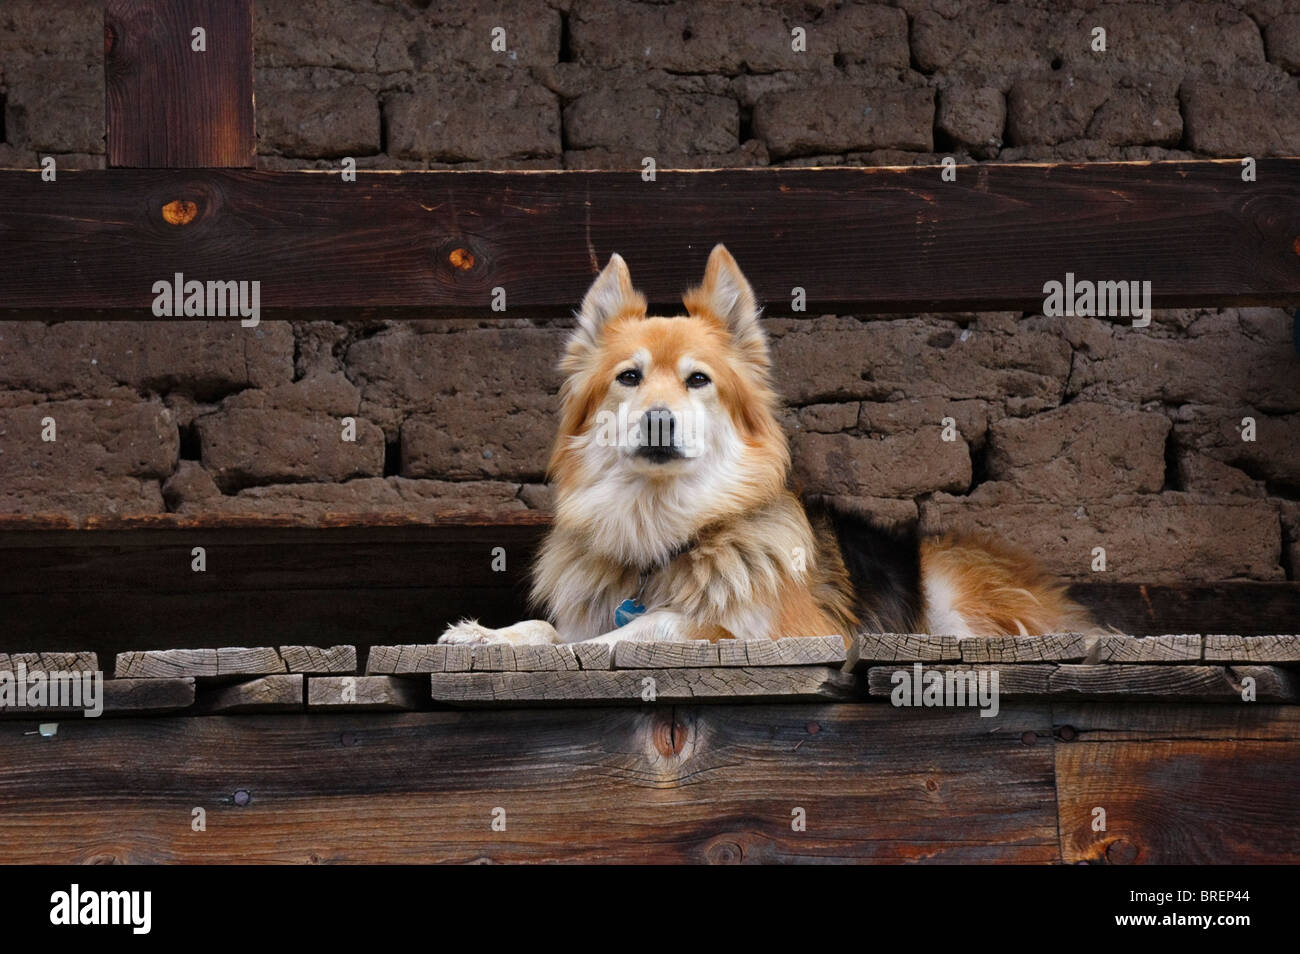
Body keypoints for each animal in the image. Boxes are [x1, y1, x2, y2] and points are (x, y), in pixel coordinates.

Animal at [439, 244, 1097, 649]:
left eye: (697, 380)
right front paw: (489, 635)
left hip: (950, 587)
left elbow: (655, 626)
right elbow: (551, 632)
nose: (659, 420)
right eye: (629, 377)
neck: (663, 530)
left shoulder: (793, 631)